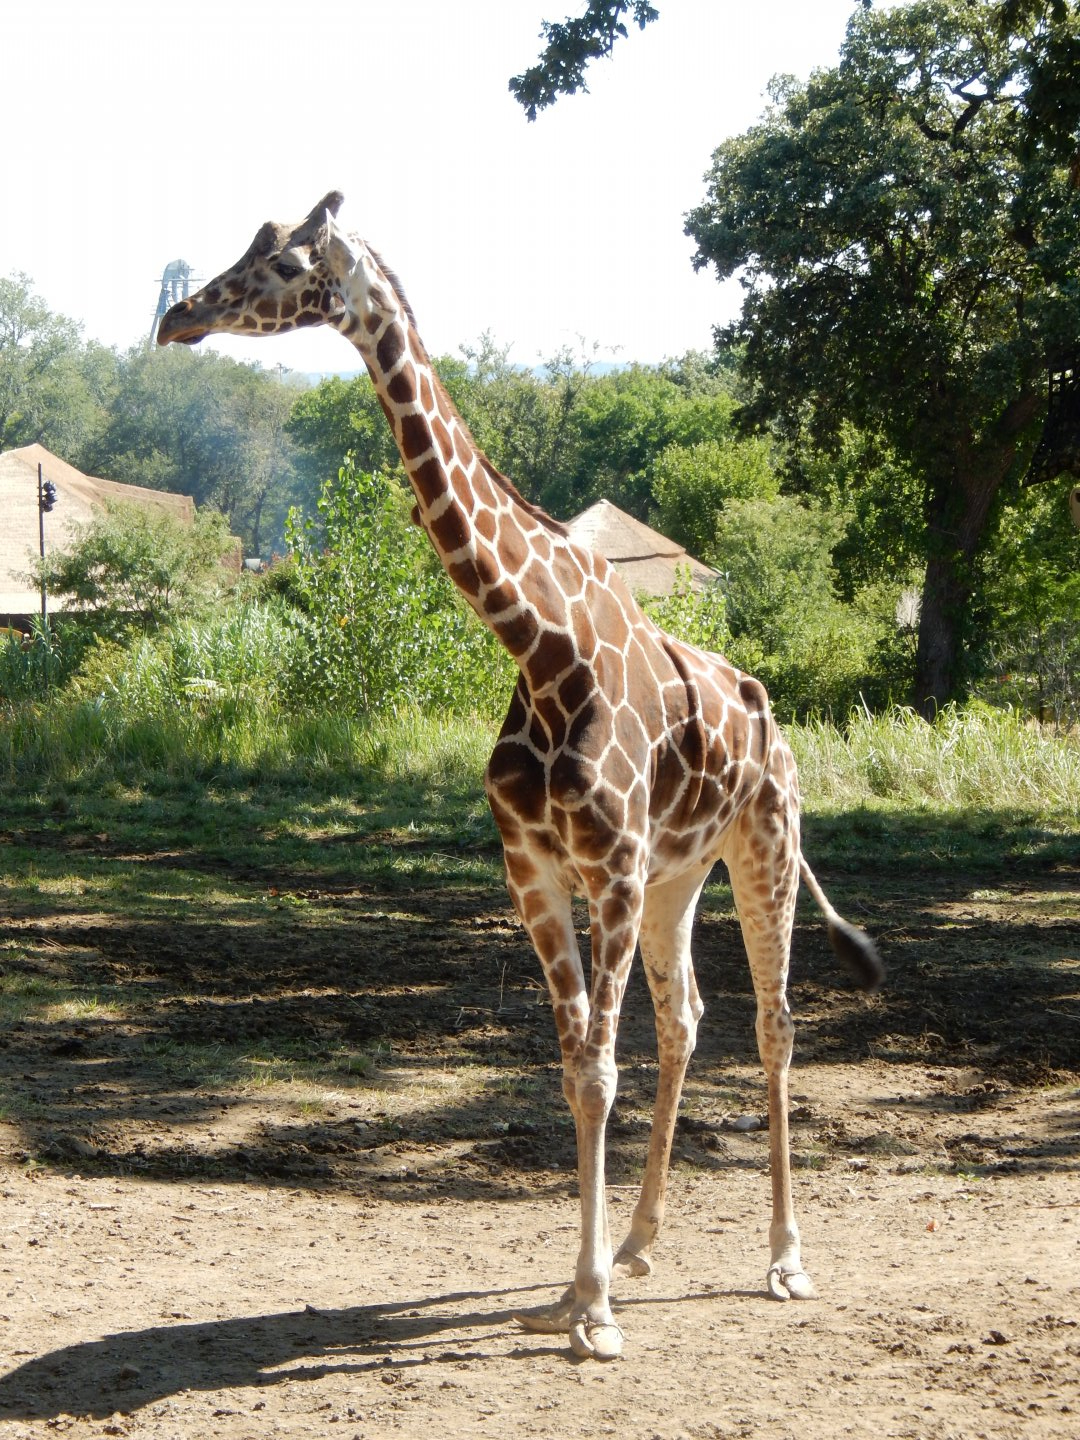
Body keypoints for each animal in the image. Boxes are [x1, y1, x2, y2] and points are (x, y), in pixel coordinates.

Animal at [157, 192, 883, 1361]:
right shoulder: (535, 867)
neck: (538, 647)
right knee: (690, 1019)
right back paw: (638, 1245)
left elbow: (597, 1065)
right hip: (681, 875)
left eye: (286, 264)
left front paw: (591, 1316)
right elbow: (574, 1061)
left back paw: (783, 1259)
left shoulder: (611, 866)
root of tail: (768, 711)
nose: (177, 315)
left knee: (774, 1025)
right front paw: (581, 1287)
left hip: (763, 844)